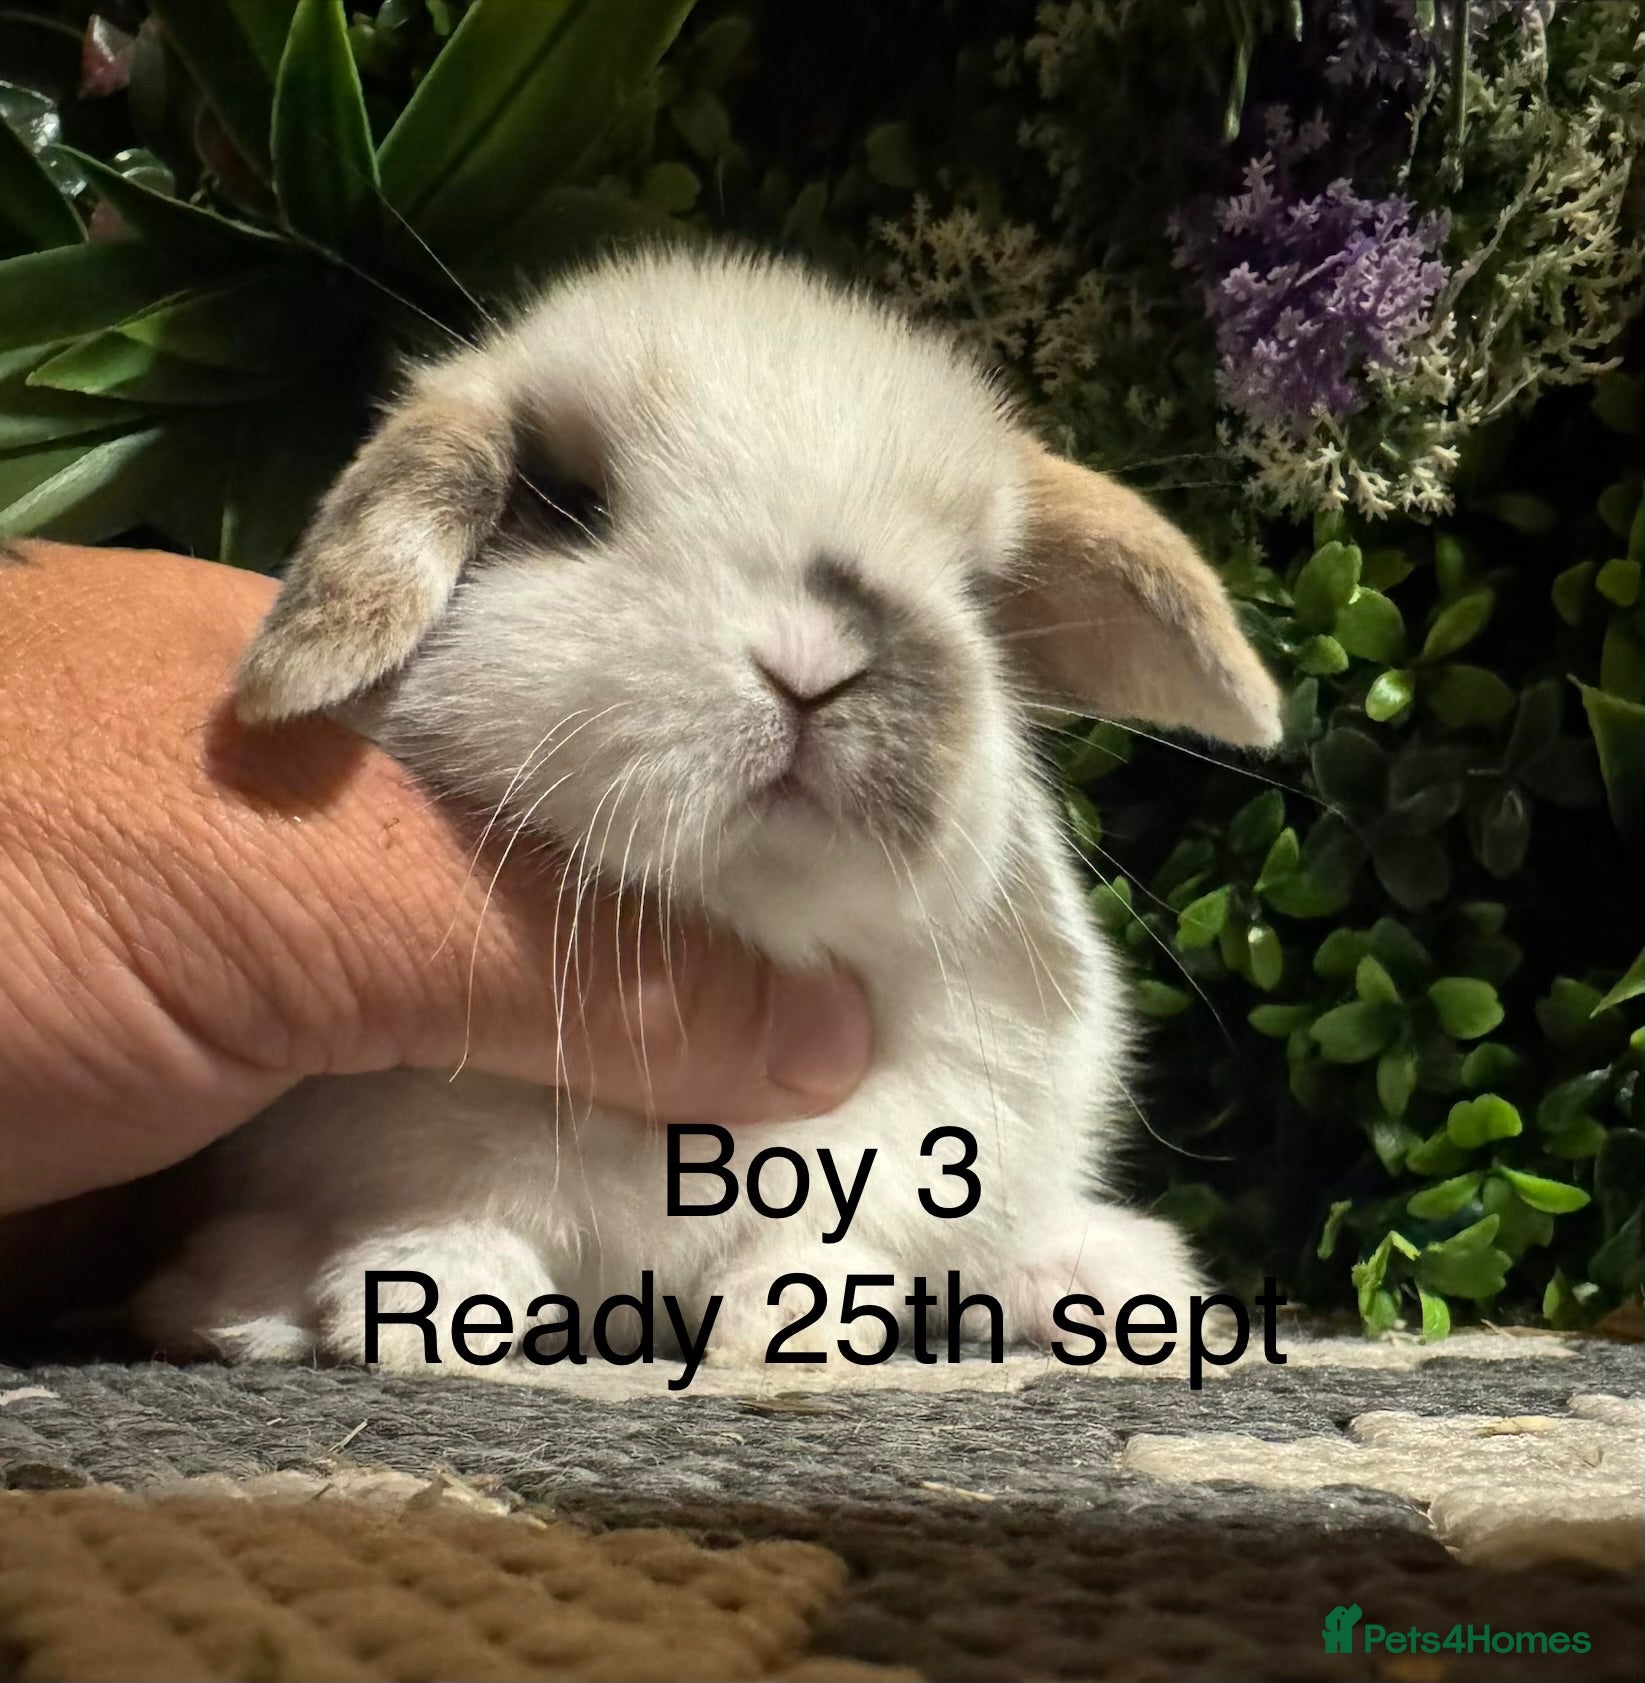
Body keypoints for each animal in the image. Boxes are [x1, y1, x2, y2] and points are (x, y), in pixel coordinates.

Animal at [131, 245, 1281, 1377]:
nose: (815, 662)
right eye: (564, 502)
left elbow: (825, 1242)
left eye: (976, 587)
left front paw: (782, 1329)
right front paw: (427, 1305)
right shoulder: (392, 1137)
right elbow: (445, 1212)